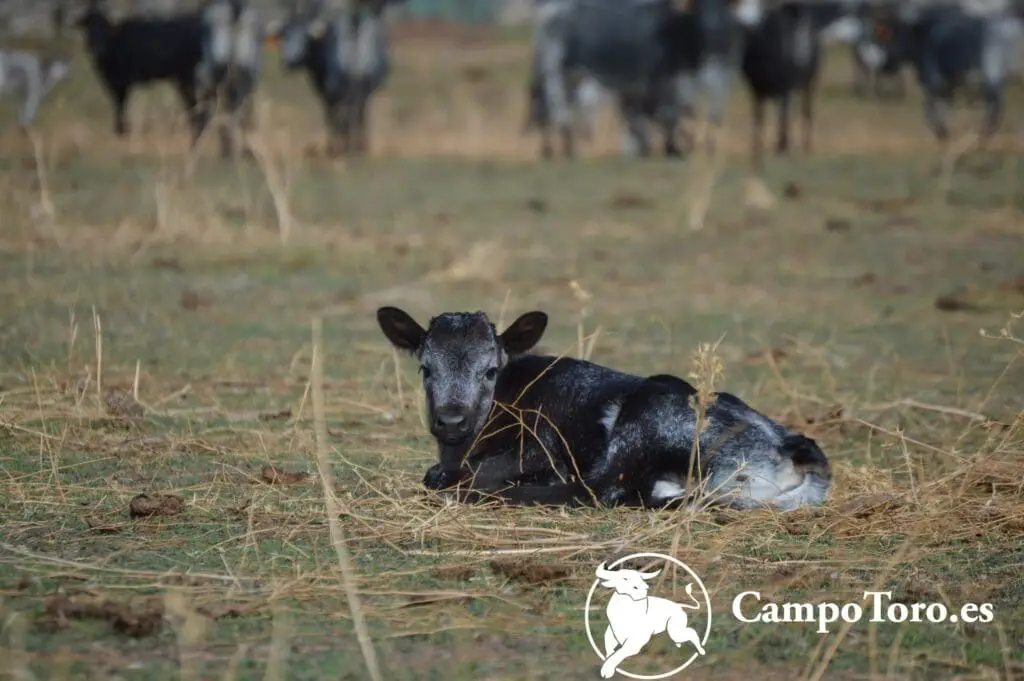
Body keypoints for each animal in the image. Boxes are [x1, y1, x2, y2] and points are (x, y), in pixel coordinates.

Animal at [376, 307, 831, 509]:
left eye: (490, 370)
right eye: (425, 368)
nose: (451, 419)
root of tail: (791, 448)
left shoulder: (540, 448)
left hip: (647, 417)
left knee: (599, 488)